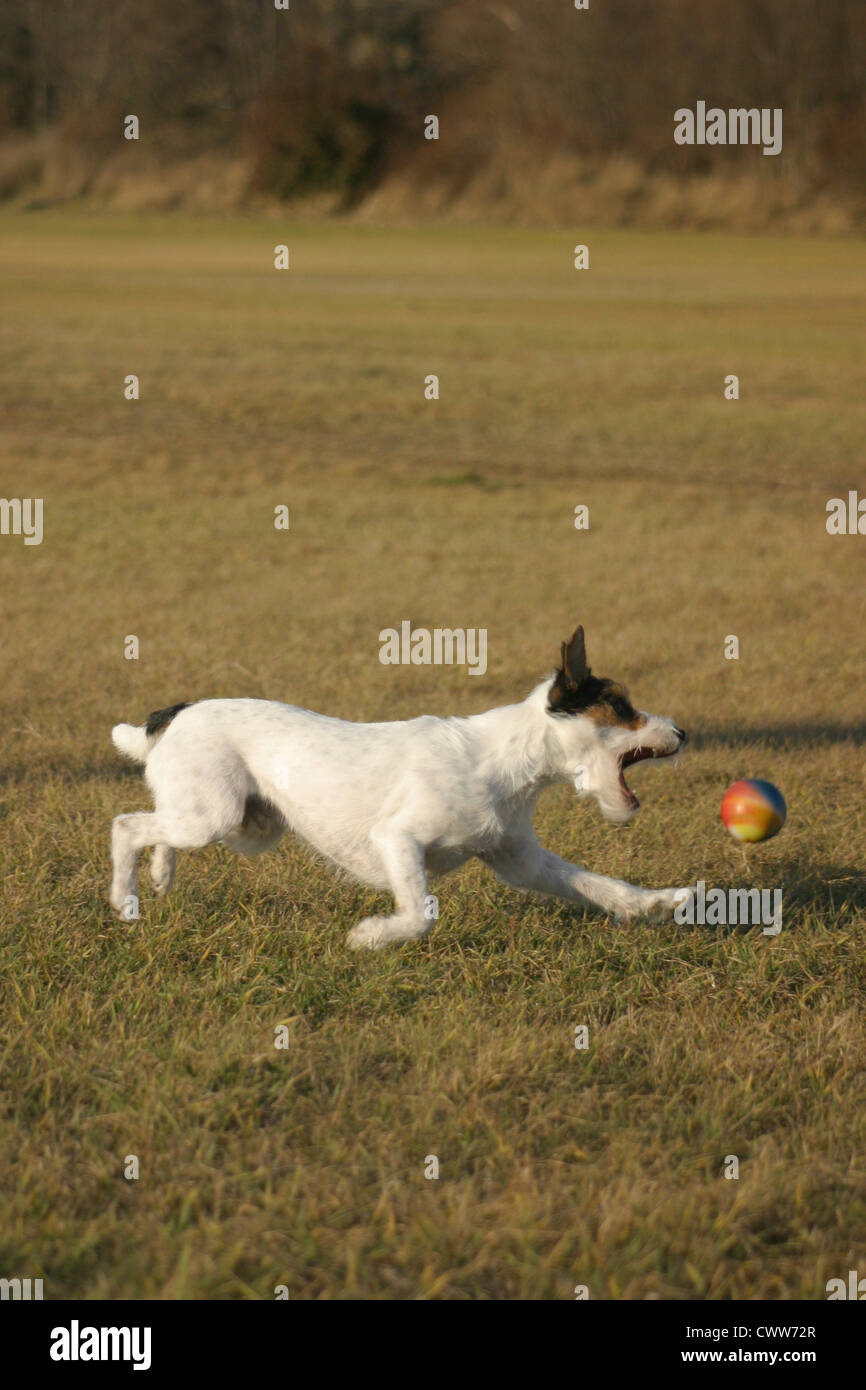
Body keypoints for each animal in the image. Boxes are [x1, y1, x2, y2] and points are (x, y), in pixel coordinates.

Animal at [108, 625, 692, 950]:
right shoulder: (397, 839)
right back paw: (125, 899)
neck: (502, 762)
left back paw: (160, 874)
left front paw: (659, 902)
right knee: (126, 826)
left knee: (156, 829)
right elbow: (419, 915)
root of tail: (176, 713)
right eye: (621, 706)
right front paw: (369, 938)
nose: (683, 732)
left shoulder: (521, 861)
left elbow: (601, 885)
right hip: (215, 816)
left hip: (243, 827)